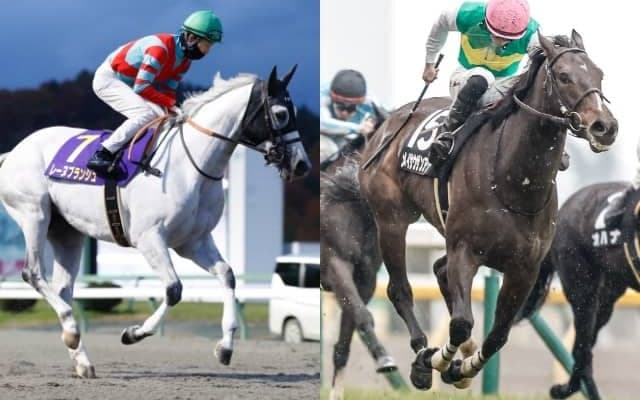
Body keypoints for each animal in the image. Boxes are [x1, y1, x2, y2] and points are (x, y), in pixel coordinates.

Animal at [0, 65, 311, 378]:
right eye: (281, 114)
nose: (302, 165)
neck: (191, 166)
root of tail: (13, 152)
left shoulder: (193, 241)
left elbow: (227, 275)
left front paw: (225, 347)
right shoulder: (149, 237)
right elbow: (174, 290)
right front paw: (133, 333)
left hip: (67, 232)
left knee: (64, 289)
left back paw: (80, 356)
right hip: (35, 213)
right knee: (32, 272)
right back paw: (72, 331)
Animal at [357, 30, 618, 390]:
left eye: (599, 75)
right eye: (564, 76)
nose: (605, 127)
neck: (514, 182)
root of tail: (387, 123)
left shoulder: (524, 269)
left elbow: (497, 335)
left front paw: (463, 367)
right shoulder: (465, 251)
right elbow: (461, 322)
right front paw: (440, 360)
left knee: (439, 270)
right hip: (391, 218)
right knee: (401, 289)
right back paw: (423, 357)